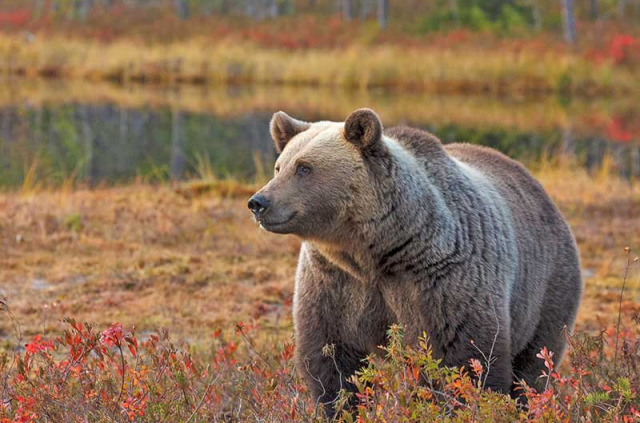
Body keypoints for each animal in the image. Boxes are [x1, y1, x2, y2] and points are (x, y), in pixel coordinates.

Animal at [248, 108, 583, 412]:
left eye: (304, 168)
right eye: (279, 166)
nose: (258, 202)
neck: (376, 249)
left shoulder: (442, 279)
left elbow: (466, 359)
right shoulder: (334, 281)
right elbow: (330, 357)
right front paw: (341, 406)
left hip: (546, 287)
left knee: (533, 364)